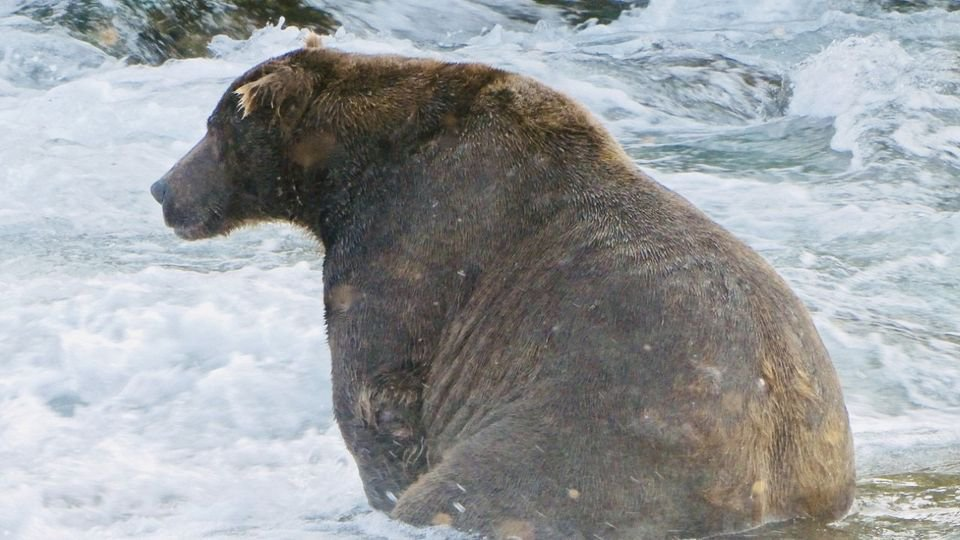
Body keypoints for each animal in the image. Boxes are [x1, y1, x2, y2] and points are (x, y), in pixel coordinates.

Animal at [150, 34, 856, 540]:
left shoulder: (413, 243)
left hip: (586, 440)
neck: (346, 175)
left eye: (214, 127)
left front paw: (380, 488)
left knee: (476, 489)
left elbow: (374, 395)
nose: (162, 188)